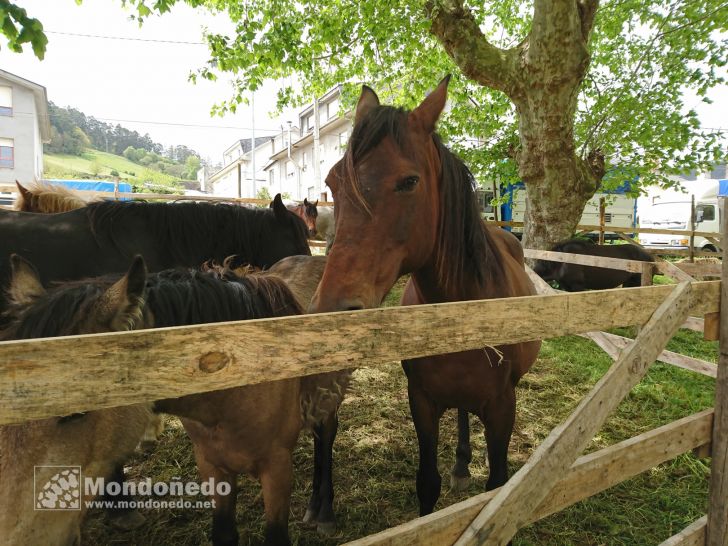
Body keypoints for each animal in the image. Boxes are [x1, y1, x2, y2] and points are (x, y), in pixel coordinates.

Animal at [310, 76, 544, 516]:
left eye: (409, 181)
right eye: (333, 183)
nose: (332, 311)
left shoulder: (502, 407)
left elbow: (496, 485)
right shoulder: (421, 401)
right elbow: (427, 484)